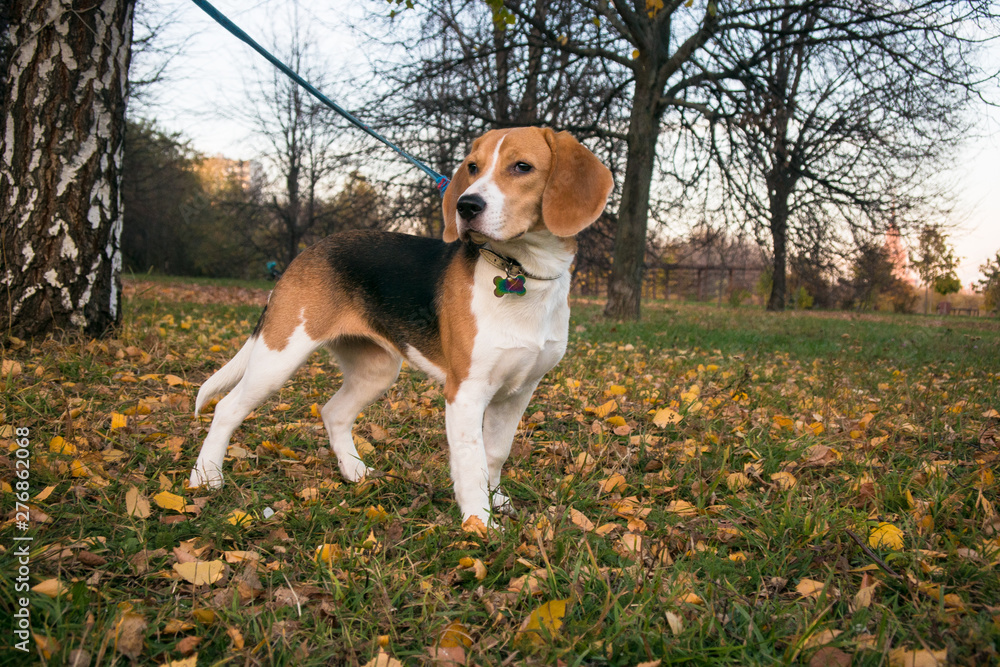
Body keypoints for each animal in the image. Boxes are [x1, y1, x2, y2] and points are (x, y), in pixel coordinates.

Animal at [187, 128, 608, 528]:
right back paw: (206, 477)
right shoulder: (466, 392)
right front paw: (479, 523)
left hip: (377, 370)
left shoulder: (519, 392)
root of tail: (305, 253)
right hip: (279, 356)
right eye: (473, 167)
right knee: (226, 407)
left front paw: (497, 501)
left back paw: (355, 471)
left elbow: (495, 453)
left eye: (522, 167)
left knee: (334, 412)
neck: (523, 272)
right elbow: (470, 461)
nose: (466, 205)